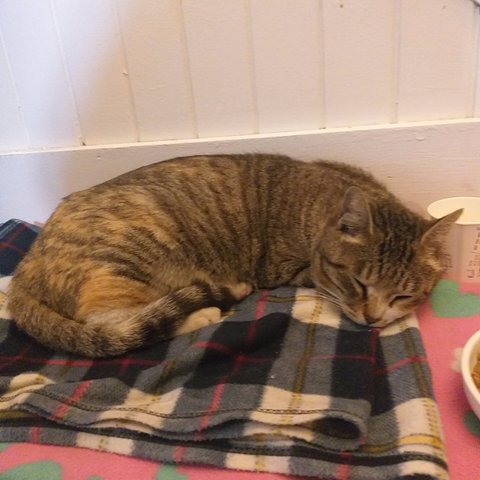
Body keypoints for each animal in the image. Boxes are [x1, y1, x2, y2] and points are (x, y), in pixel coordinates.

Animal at [8, 154, 461, 357]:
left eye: (403, 295)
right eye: (359, 283)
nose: (372, 320)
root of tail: (25, 266)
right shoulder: (289, 269)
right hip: (125, 257)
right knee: (113, 326)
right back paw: (204, 311)